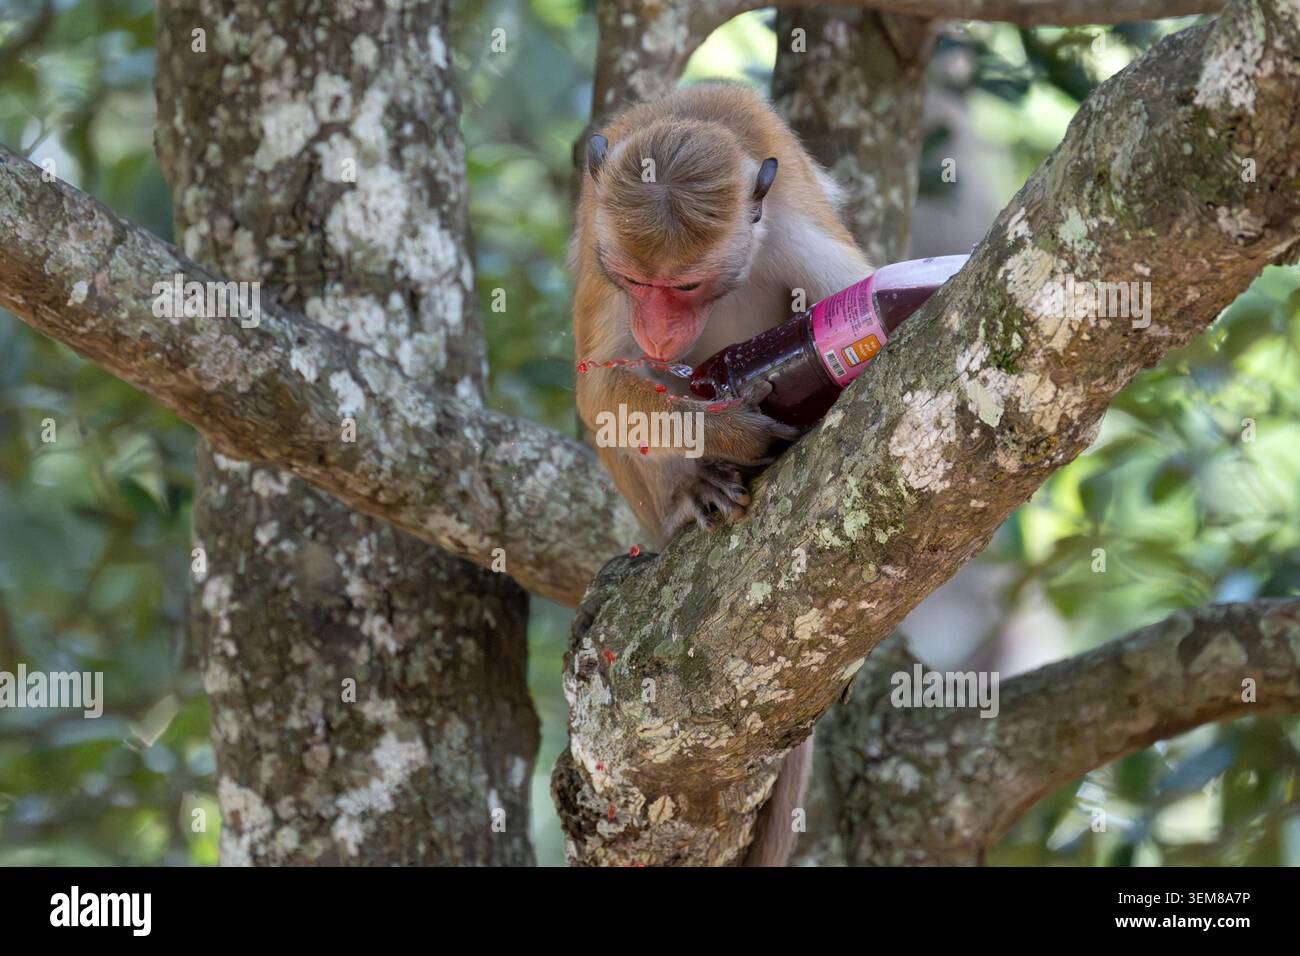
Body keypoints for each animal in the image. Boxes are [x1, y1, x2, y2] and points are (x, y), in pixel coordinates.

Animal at [571, 84, 873, 866]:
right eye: (637, 281)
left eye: (686, 285)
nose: (658, 330)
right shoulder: (602, 258)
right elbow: (600, 388)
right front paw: (734, 427)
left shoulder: (797, 235)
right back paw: (691, 497)